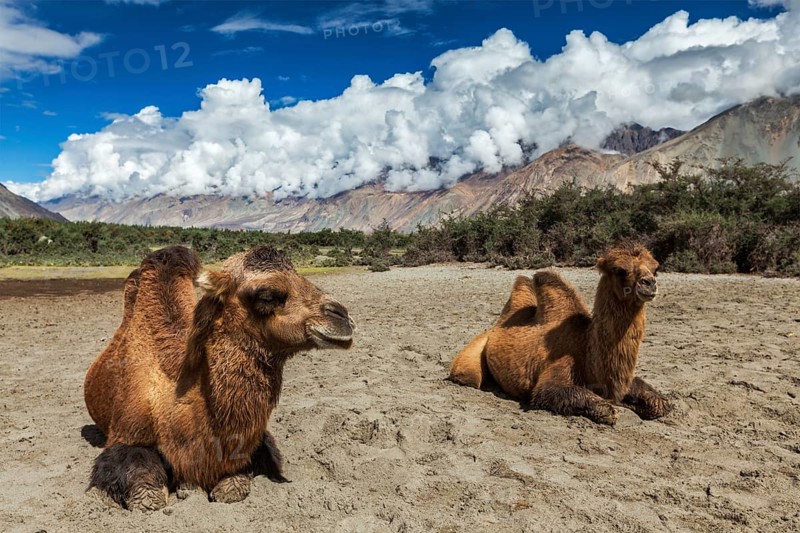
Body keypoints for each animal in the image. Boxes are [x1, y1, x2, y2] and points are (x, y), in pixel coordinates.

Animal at [83, 245, 355, 510]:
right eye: (267, 295)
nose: (343, 317)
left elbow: (233, 487)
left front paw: (196, 486)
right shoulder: (125, 436)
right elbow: (149, 497)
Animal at [449, 243, 671, 425]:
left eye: (656, 268)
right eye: (620, 270)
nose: (649, 283)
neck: (586, 348)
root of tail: (497, 325)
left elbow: (661, 404)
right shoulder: (558, 372)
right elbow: (600, 408)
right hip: (470, 362)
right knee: (469, 376)